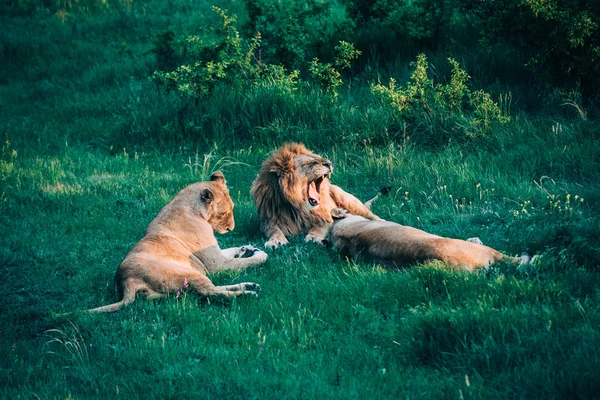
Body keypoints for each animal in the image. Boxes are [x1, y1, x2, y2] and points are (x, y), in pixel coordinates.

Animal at [86, 171, 268, 312]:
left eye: (232, 208)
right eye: (223, 214)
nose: (231, 228)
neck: (189, 206)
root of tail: (125, 280)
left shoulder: (216, 254)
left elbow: (230, 250)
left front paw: (247, 248)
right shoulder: (216, 264)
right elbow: (249, 262)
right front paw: (259, 254)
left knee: (211, 289)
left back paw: (250, 286)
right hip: (192, 274)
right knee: (212, 292)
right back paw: (248, 294)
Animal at [251, 143, 382, 250]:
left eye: (318, 158)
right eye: (310, 163)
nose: (329, 163)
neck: (298, 206)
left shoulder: (325, 218)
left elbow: (318, 227)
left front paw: (313, 238)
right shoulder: (269, 221)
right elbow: (274, 230)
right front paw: (276, 241)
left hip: (348, 200)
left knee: (373, 216)